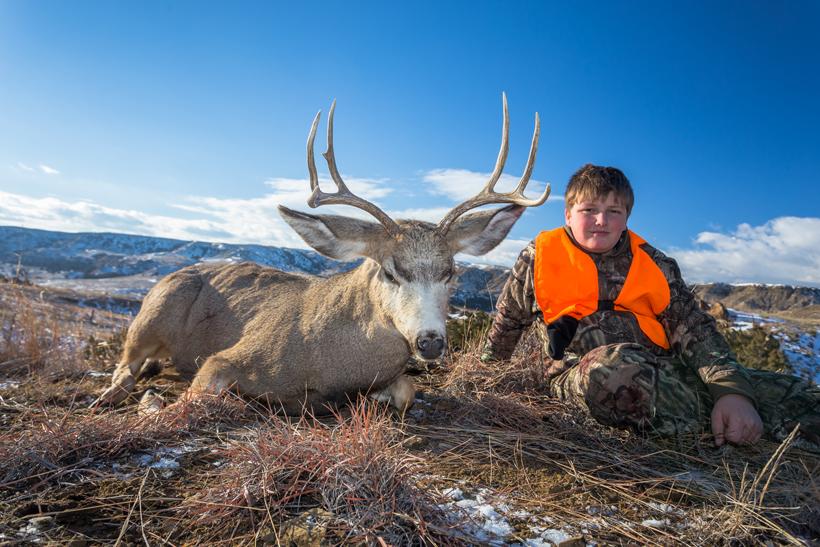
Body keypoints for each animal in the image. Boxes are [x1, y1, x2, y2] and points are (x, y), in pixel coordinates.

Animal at [92, 94, 550, 415]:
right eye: (390, 272)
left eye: (451, 271)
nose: (431, 341)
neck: (329, 357)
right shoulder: (223, 359)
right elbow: (193, 399)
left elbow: (407, 391)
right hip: (152, 314)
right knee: (125, 366)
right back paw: (120, 392)